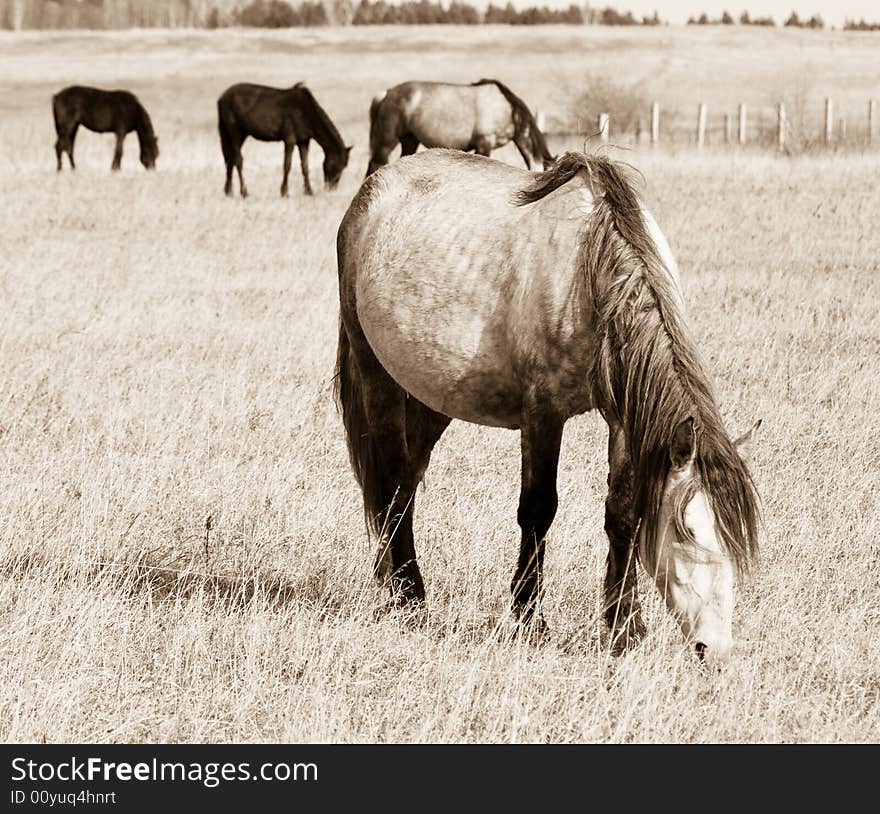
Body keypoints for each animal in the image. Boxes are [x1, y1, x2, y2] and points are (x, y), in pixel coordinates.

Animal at [218, 82, 352, 198]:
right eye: (336, 164)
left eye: (344, 166)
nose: (332, 188)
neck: (305, 110)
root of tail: (222, 97)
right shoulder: (290, 140)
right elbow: (287, 165)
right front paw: (285, 192)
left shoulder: (303, 141)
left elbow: (305, 166)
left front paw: (309, 191)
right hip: (234, 131)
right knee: (238, 160)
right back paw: (244, 192)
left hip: (241, 134)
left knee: (230, 159)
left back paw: (229, 191)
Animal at [336, 150, 764, 668]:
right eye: (690, 534)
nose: (714, 649)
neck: (588, 276)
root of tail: (369, 193)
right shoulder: (542, 414)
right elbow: (538, 509)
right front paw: (527, 618)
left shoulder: (624, 420)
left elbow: (623, 513)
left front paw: (623, 628)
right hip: (376, 374)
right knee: (392, 478)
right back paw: (409, 595)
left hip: (428, 397)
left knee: (408, 482)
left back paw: (397, 581)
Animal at [368, 79, 552, 176]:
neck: (506, 109)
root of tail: (387, 93)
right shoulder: (484, 143)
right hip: (387, 143)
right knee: (375, 164)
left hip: (410, 140)